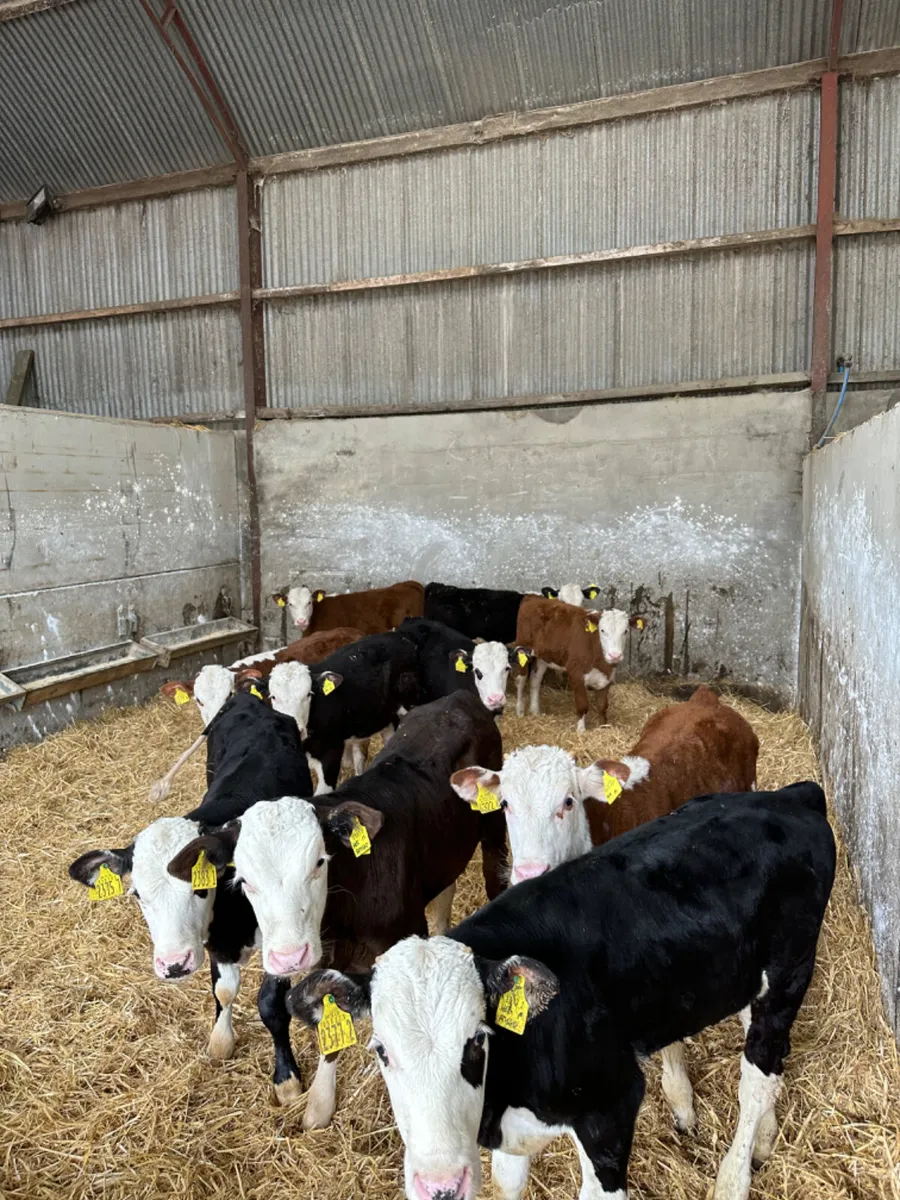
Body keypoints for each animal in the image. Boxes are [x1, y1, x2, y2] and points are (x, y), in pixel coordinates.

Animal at [68, 665, 315, 1075]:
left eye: (199, 887)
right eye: (138, 895)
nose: (173, 965)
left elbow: (270, 1002)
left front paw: (287, 1076)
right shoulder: (217, 944)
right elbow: (223, 990)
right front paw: (221, 1039)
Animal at [168, 690, 508, 1128]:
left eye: (319, 862)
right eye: (243, 879)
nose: (289, 956)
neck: (346, 913)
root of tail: (458, 697)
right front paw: (319, 1101)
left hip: (493, 824)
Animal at [290, 782, 835, 1200]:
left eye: (477, 1040)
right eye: (381, 1050)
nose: (440, 1184)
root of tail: (791, 795)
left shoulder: (611, 1107)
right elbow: (508, 1184)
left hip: (790, 972)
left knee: (758, 1073)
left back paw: (734, 1178)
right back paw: (762, 1136)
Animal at [514, 594, 639, 729]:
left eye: (625, 631)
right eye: (602, 630)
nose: (615, 655)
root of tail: (532, 597)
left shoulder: (607, 677)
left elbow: (602, 706)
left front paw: (603, 727)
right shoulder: (576, 674)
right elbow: (582, 705)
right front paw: (581, 730)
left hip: (543, 657)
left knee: (535, 680)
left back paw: (535, 711)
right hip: (522, 650)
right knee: (521, 680)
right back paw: (520, 711)